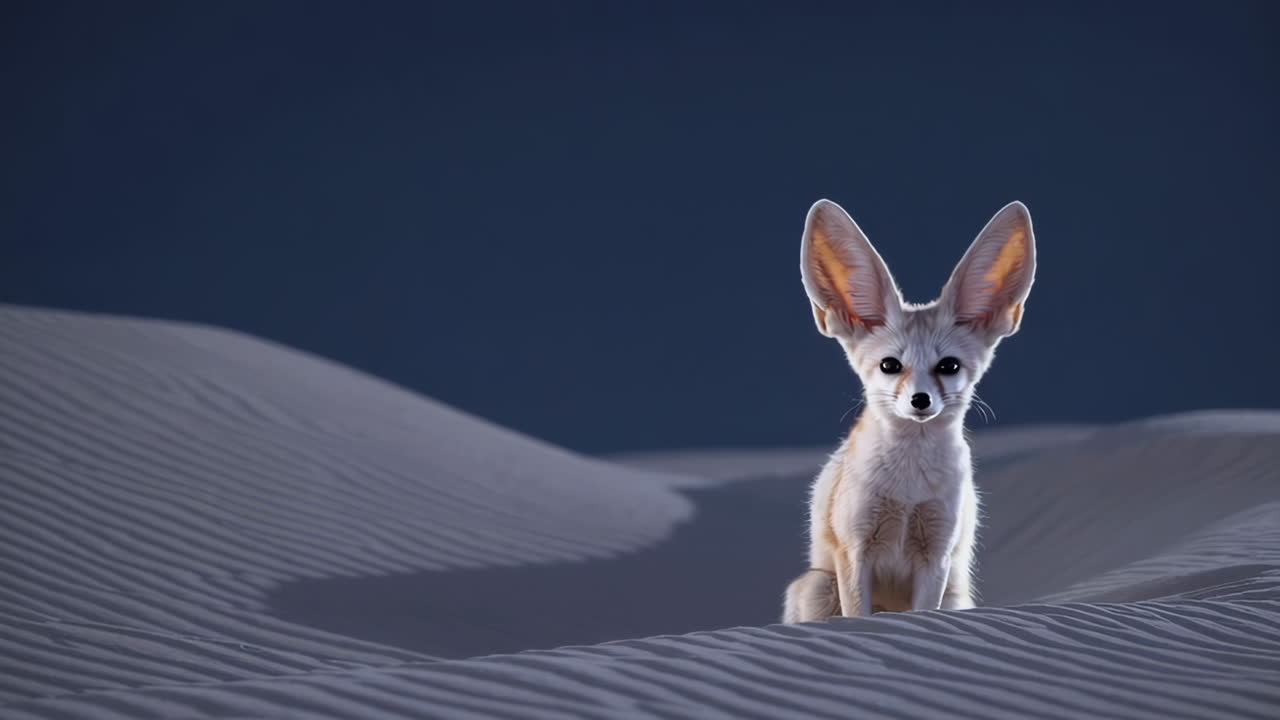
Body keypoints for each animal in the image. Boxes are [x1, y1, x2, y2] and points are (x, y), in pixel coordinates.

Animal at [782, 199, 1036, 623]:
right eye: (890, 365)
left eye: (948, 366)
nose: (920, 400)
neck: (908, 489)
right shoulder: (855, 548)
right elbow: (859, 616)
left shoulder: (937, 551)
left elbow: (922, 612)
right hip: (820, 585)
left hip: (955, 596)